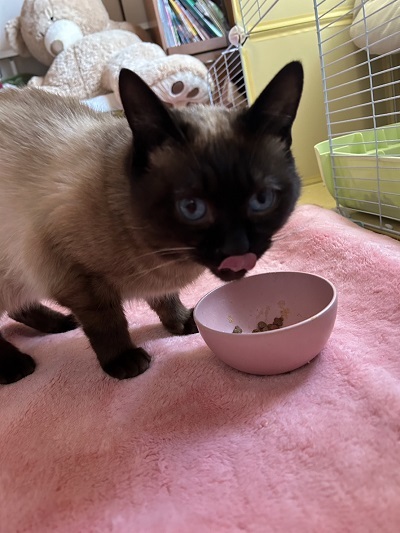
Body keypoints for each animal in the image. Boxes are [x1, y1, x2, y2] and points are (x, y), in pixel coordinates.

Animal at [0, 61, 303, 384]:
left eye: (262, 200)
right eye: (191, 207)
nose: (237, 249)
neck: (167, 257)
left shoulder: (155, 282)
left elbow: (165, 299)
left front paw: (182, 323)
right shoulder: (78, 280)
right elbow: (107, 323)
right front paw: (123, 360)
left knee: (17, 309)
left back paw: (61, 324)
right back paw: (15, 365)